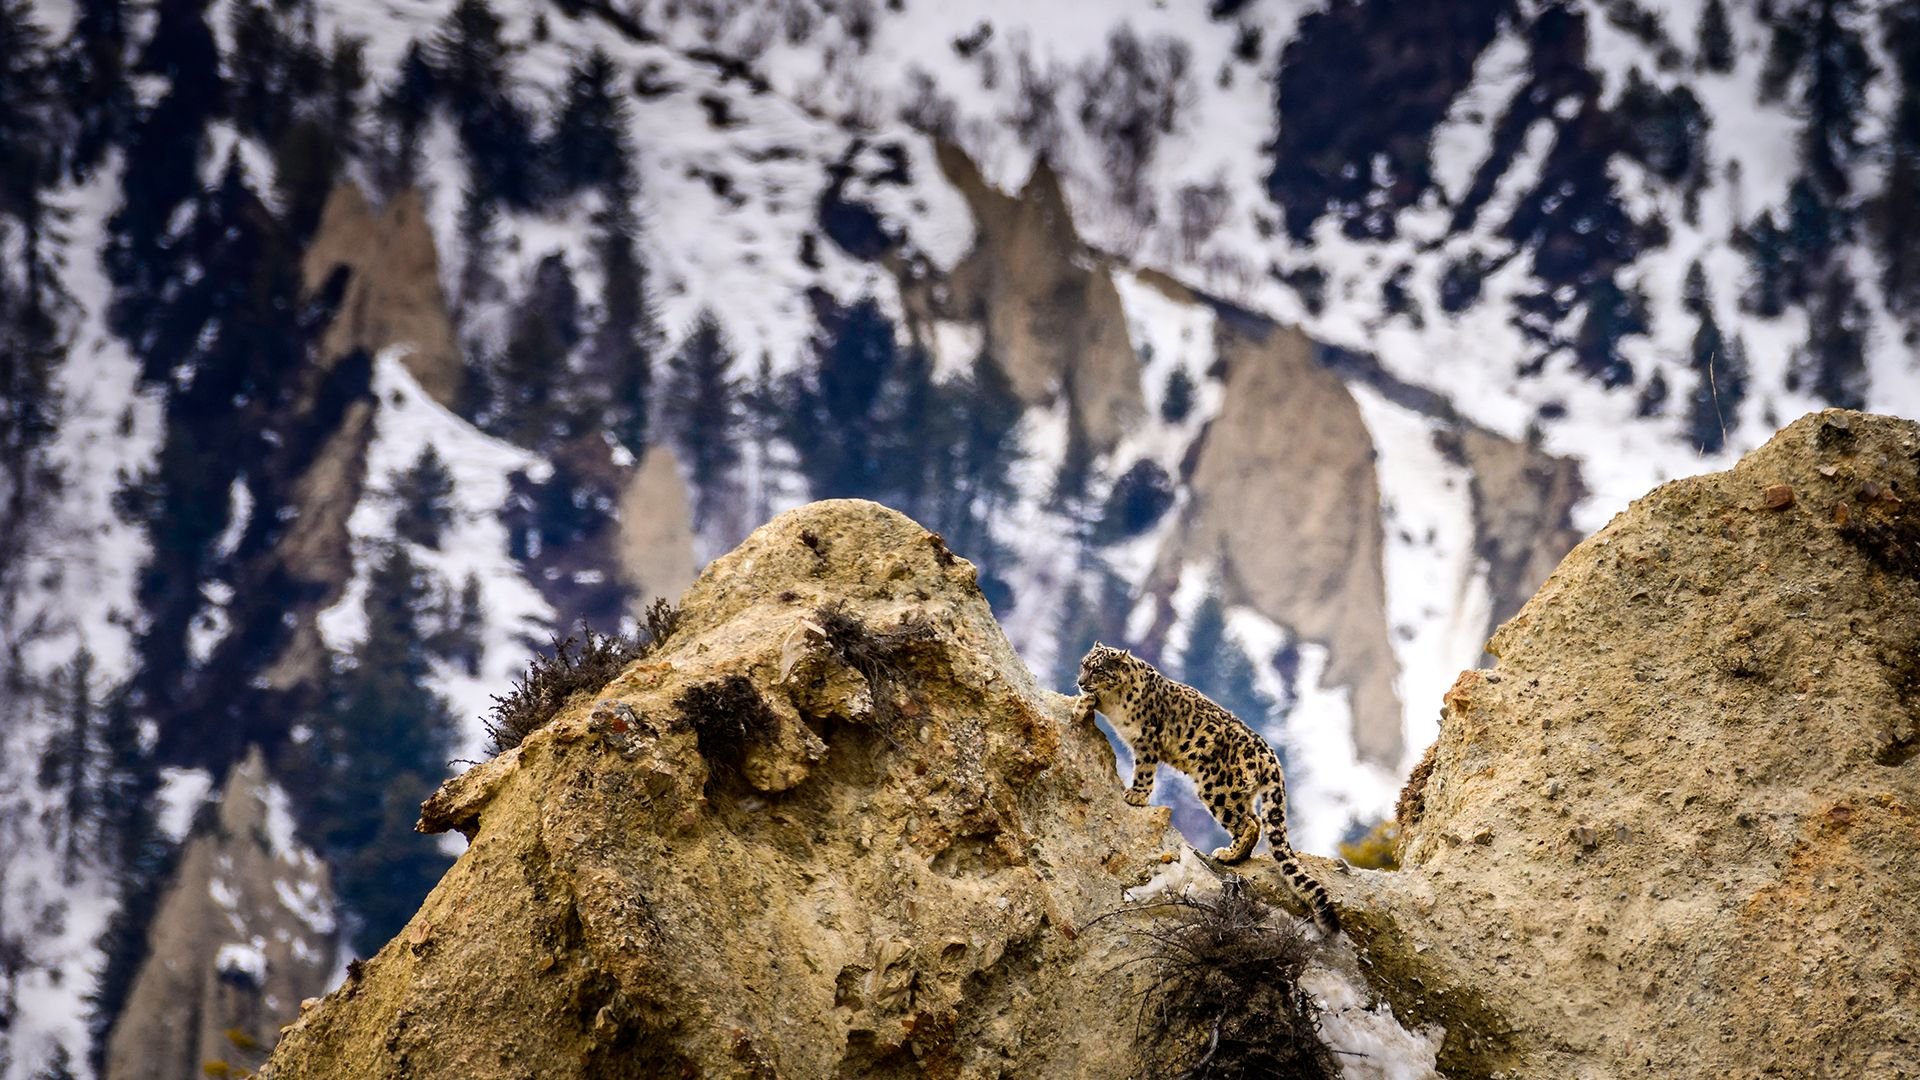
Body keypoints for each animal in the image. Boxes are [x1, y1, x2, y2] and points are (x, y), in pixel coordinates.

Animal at [1074, 642, 1339, 934]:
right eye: (1084, 664)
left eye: (1098, 669)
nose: (1081, 681)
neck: (1115, 699)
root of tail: (1269, 755)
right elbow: (1091, 702)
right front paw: (1080, 706)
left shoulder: (1147, 738)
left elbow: (1144, 768)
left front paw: (1136, 795)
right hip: (1238, 793)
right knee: (1255, 820)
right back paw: (1236, 856)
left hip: (1217, 789)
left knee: (1247, 823)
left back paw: (1228, 854)